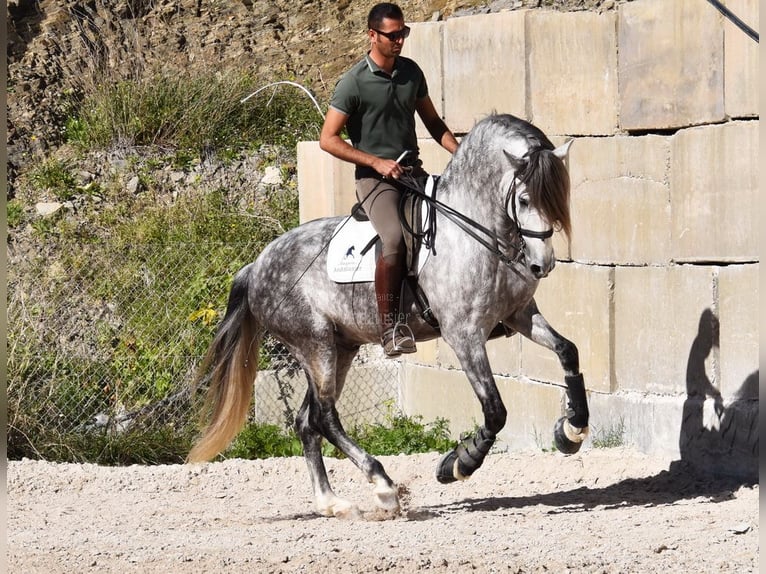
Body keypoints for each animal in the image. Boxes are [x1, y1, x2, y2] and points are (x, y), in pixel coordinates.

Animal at [186, 113, 590, 518]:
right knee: (324, 416)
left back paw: (332, 503)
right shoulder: (464, 334)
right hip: (315, 345)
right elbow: (495, 410)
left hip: (340, 348)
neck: (478, 233)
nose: (542, 265)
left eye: (558, 197)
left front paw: (572, 431)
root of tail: (256, 266)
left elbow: (568, 350)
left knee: (307, 421)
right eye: (523, 199)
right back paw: (383, 486)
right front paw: (457, 464)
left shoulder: (520, 314)